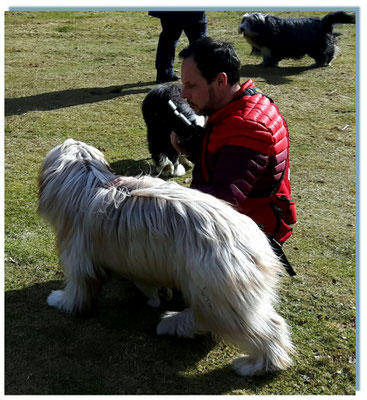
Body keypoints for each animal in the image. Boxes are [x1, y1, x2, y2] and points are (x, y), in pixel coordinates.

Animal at [38, 139, 294, 376]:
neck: (90, 181)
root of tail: (258, 245)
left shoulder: (79, 258)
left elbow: (77, 289)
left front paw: (60, 300)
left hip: (217, 292)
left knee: (264, 328)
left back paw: (254, 365)